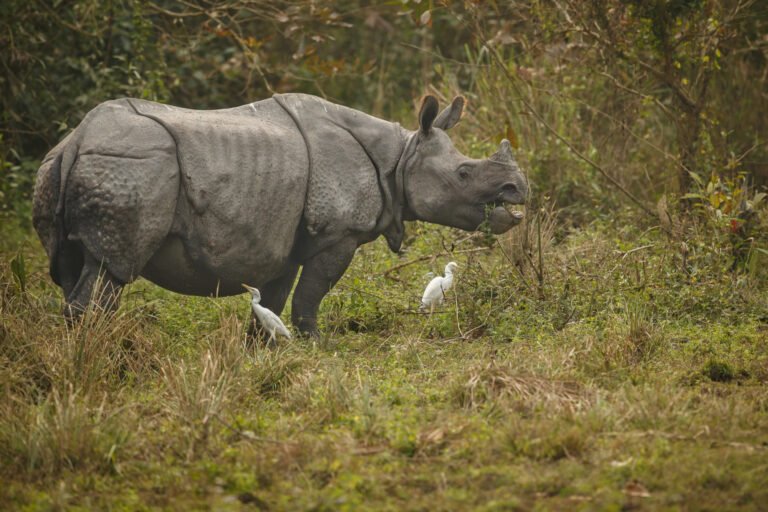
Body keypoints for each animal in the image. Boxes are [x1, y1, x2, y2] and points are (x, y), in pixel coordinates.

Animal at [33, 93, 528, 336]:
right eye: (464, 174)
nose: (518, 189)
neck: (400, 155)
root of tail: (77, 139)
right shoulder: (338, 234)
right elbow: (310, 298)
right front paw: (317, 347)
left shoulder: (282, 241)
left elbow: (271, 301)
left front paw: (263, 350)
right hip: (131, 165)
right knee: (111, 268)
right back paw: (98, 356)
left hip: (64, 167)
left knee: (75, 269)